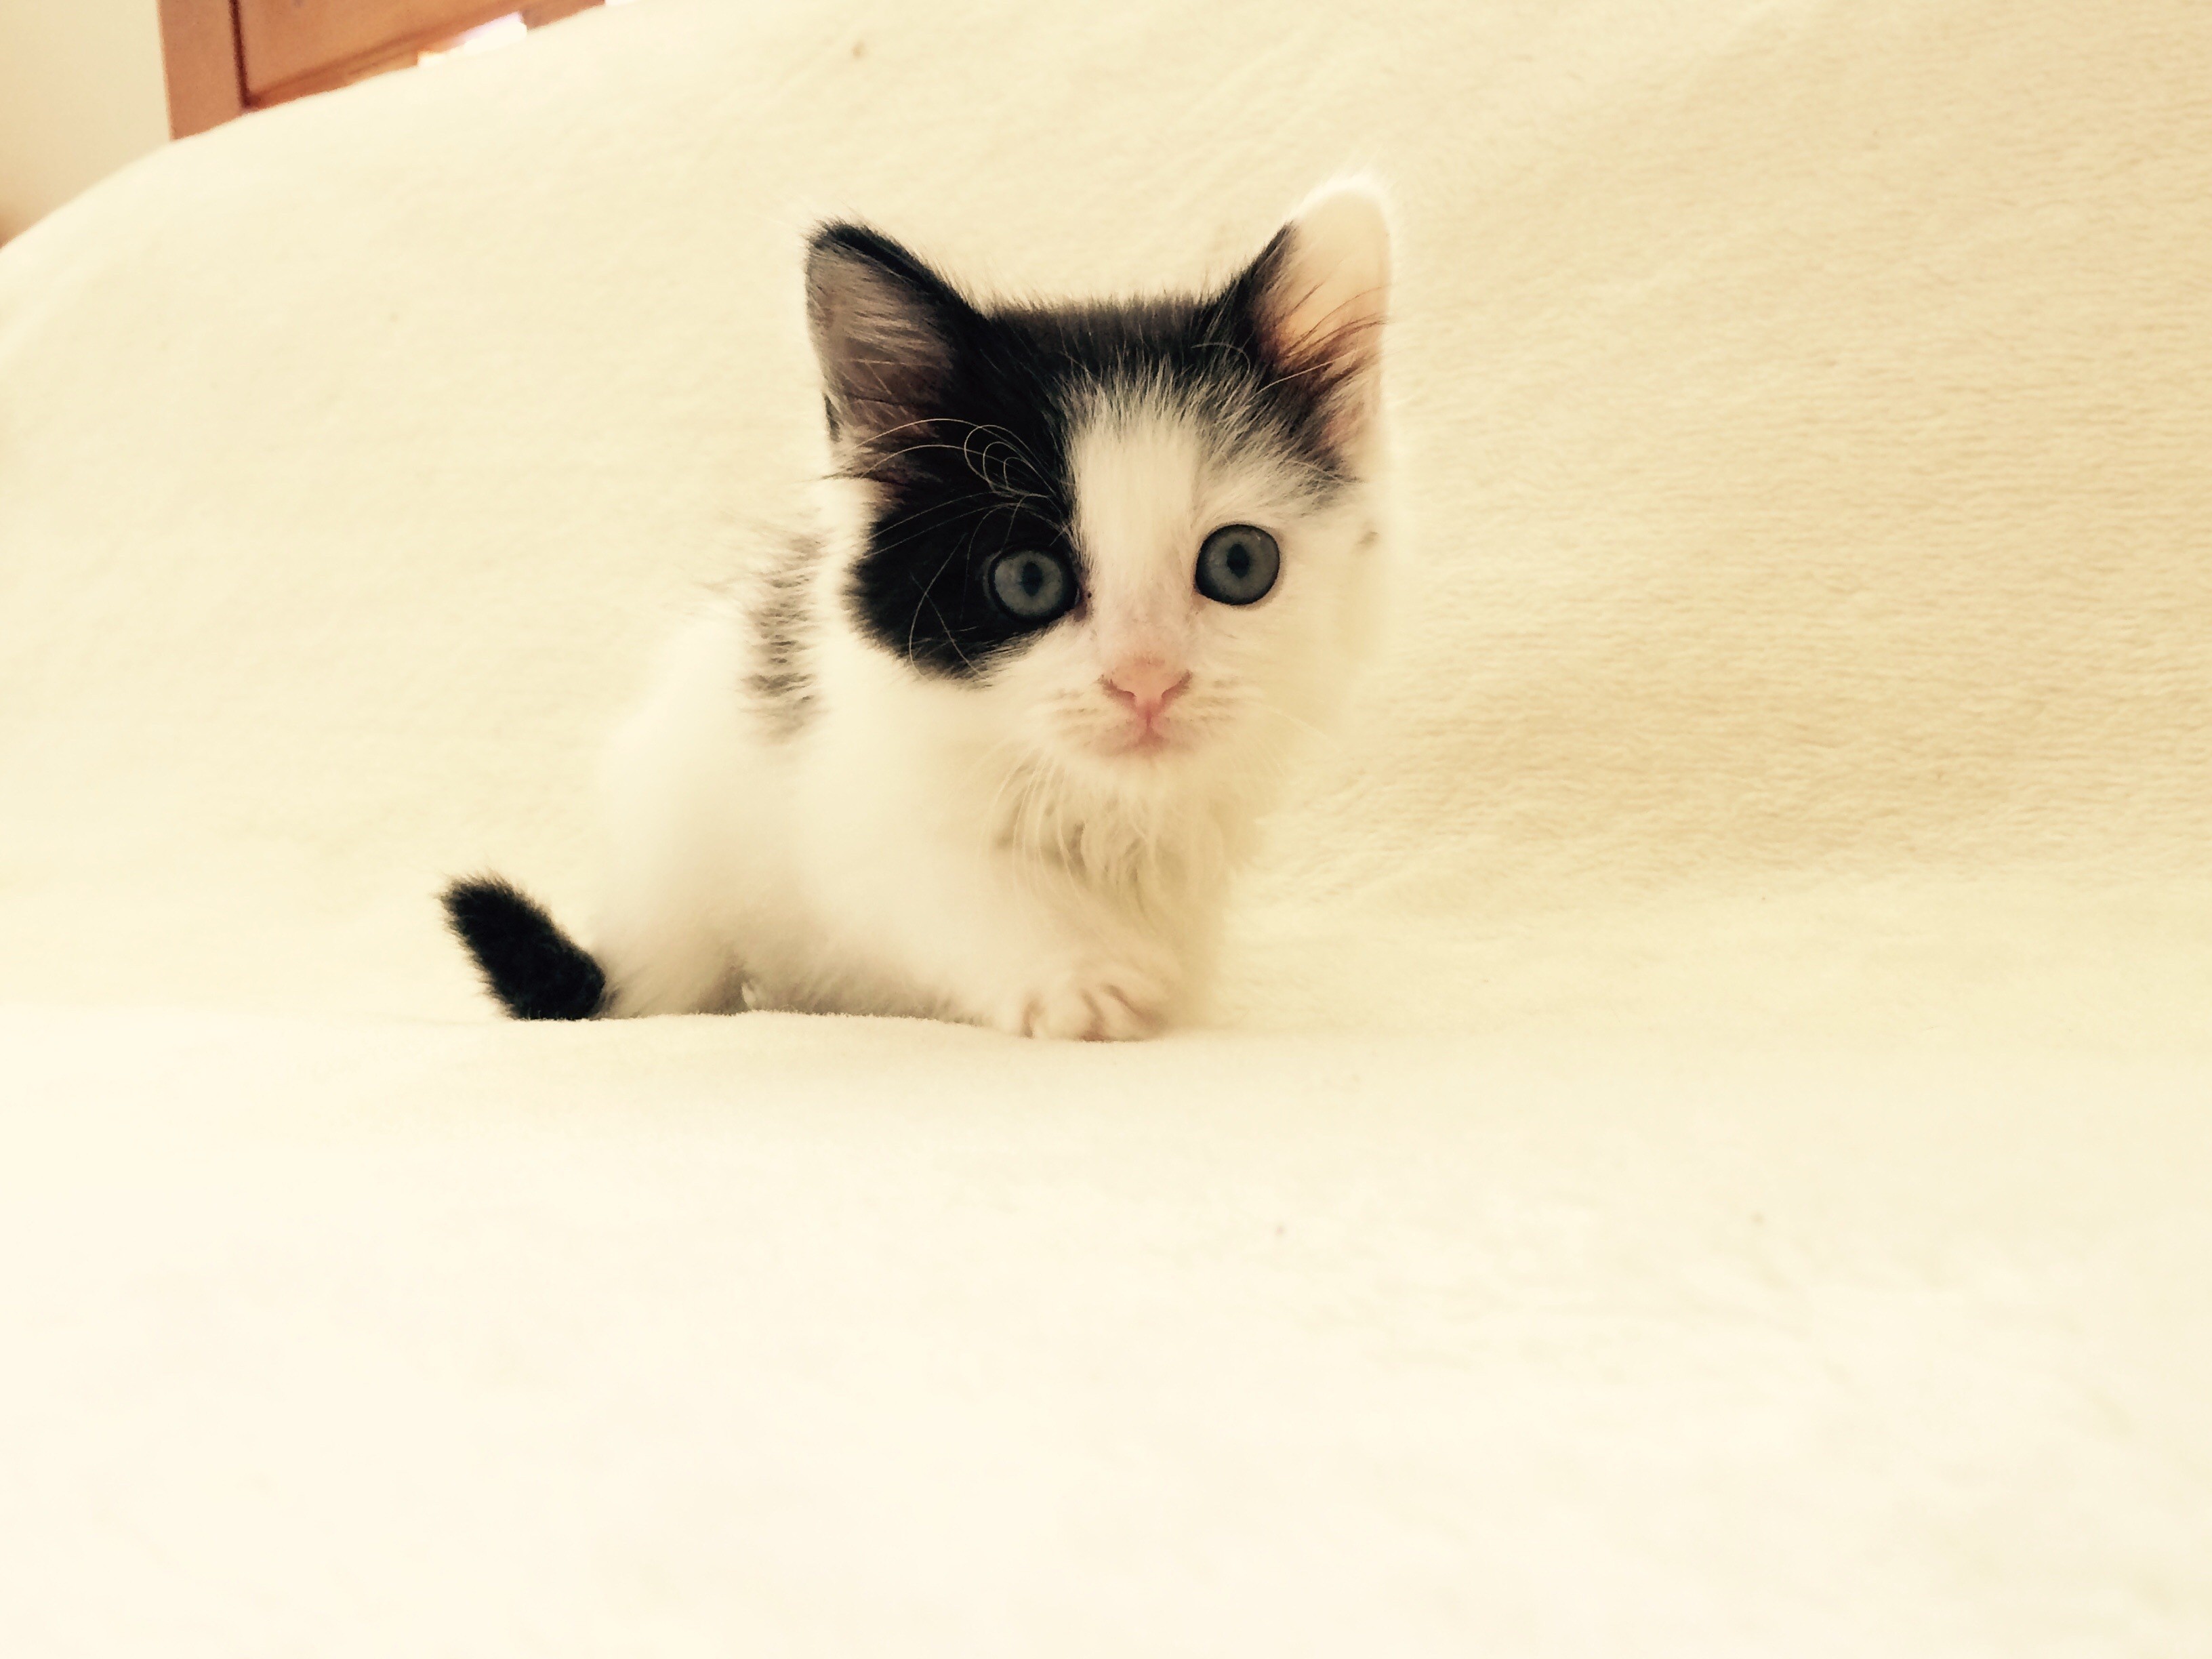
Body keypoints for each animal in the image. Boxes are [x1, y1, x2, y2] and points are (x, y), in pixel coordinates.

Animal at [443, 181, 1392, 1039]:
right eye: (1027, 581)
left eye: (1238, 564)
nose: (1146, 681)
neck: (1100, 808)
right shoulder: (853, 794)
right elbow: (949, 881)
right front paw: (1080, 977)